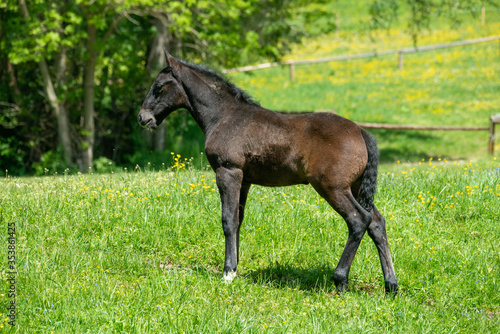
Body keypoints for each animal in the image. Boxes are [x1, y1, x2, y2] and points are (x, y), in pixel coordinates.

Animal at [138, 51, 398, 294]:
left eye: (159, 87)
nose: (142, 118)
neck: (224, 115)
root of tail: (361, 132)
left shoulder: (228, 172)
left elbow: (228, 220)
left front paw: (228, 273)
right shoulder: (244, 180)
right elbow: (239, 219)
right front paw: (235, 267)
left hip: (332, 187)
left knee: (358, 220)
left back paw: (340, 279)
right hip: (355, 187)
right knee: (376, 223)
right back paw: (391, 286)